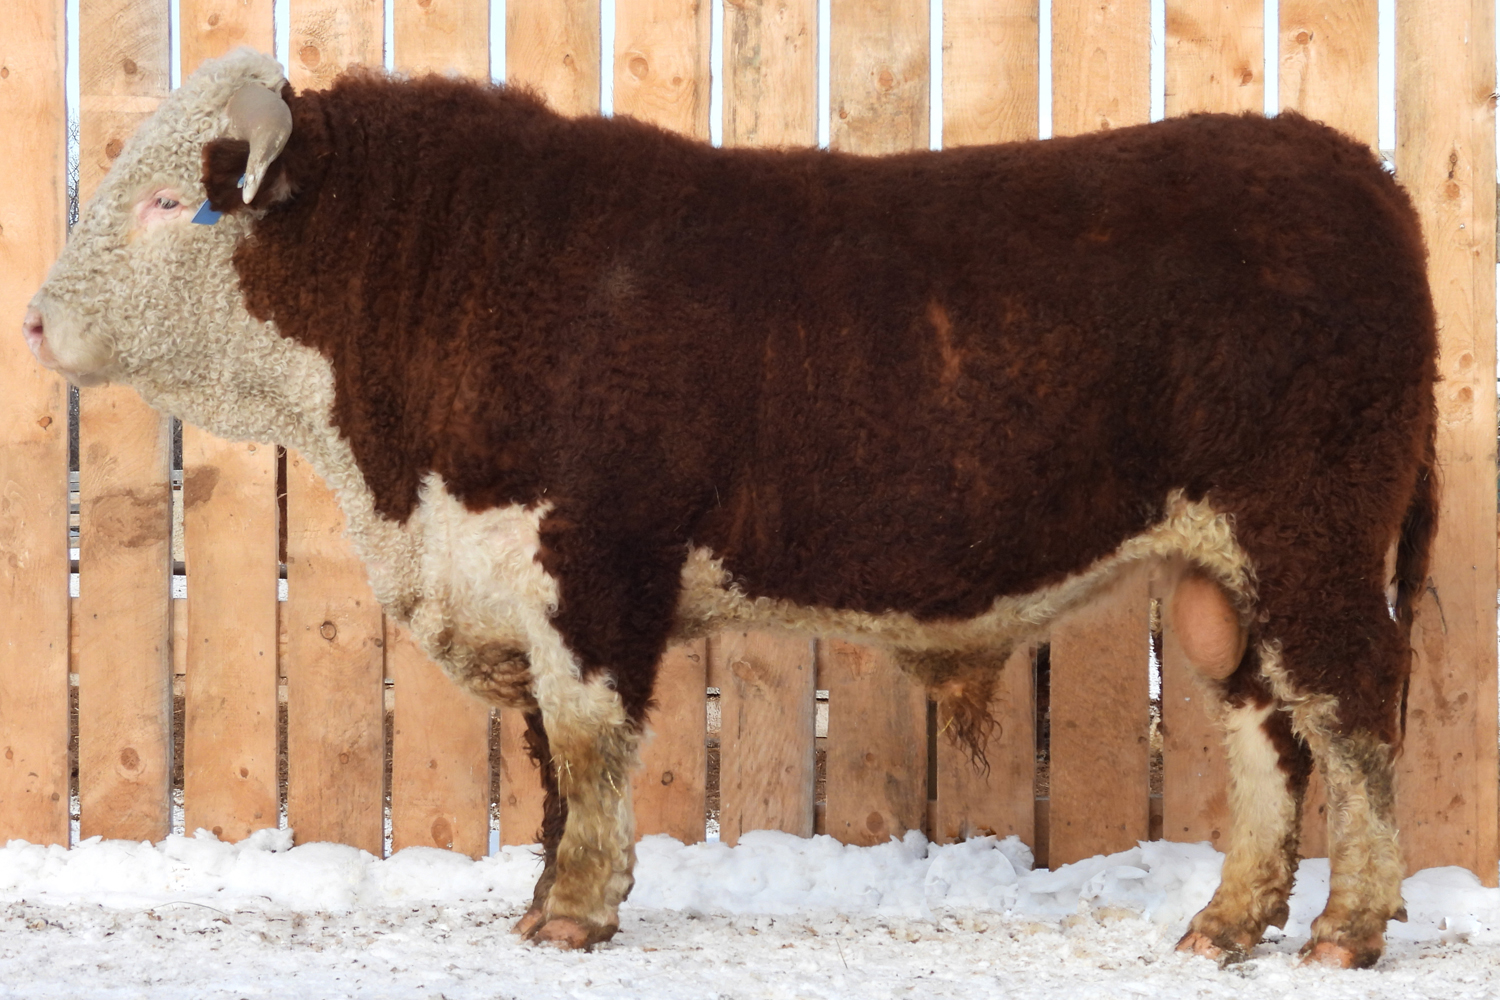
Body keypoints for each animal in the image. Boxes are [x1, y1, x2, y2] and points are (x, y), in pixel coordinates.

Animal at [23, 49, 1437, 968]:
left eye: (170, 200)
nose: (34, 320)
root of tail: (1346, 167)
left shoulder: (594, 561)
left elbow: (587, 740)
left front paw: (574, 912)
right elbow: (550, 757)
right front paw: (543, 895)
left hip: (1310, 533)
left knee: (1358, 711)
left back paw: (1348, 927)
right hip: (1226, 574)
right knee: (1267, 723)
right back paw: (1229, 923)